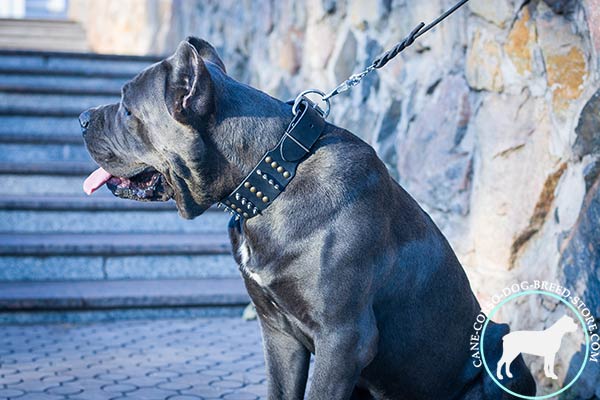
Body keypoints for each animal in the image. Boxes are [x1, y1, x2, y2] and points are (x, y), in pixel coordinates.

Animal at [79, 37, 536, 400]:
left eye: (126, 109)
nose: (82, 118)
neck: (274, 179)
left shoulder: (343, 340)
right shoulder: (279, 334)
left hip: (498, 354)